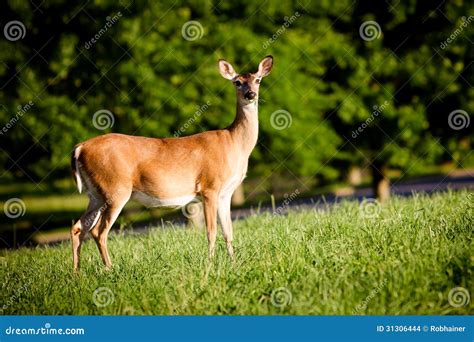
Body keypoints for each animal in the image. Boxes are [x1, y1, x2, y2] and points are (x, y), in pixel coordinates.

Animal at [68, 56, 272, 272]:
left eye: (258, 80)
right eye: (237, 82)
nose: (251, 94)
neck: (235, 144)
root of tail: (80, 148)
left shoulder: (226, 193)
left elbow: (228, 231)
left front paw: (233, 264)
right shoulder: (210, 187)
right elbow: (211, 231)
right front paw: (209, 265)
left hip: (96, 194)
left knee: (78, 227)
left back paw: (76, 271)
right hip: (115, 188)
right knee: (99, 231)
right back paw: (110, 269)